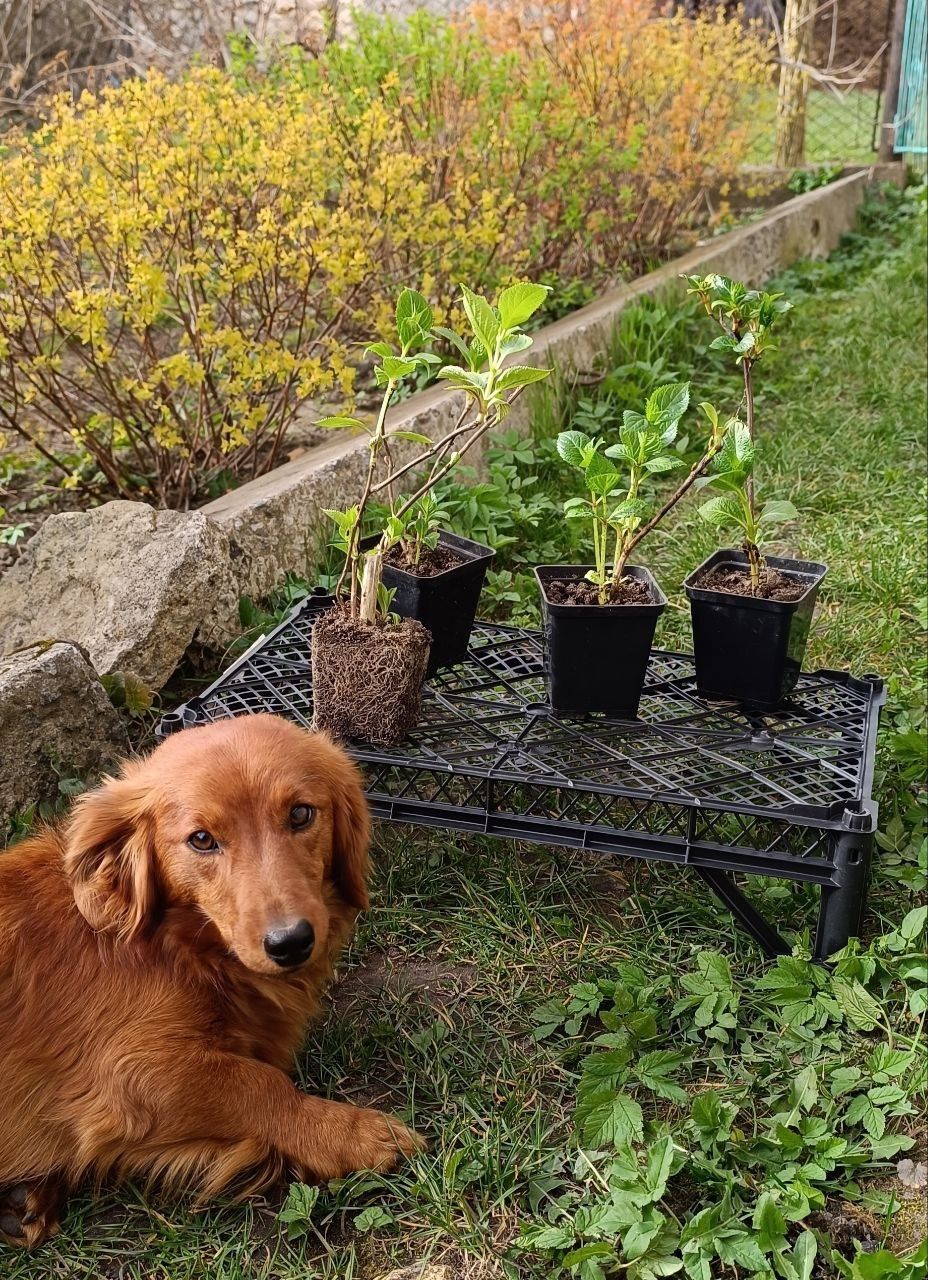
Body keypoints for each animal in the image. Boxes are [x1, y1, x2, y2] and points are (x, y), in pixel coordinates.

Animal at [0, 721, 419, 1249]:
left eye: (301, 814)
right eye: (201, 839)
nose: (290, 942)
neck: (174, 948)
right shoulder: (132, 1076)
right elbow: (262, 1084)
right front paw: (353, 1133)